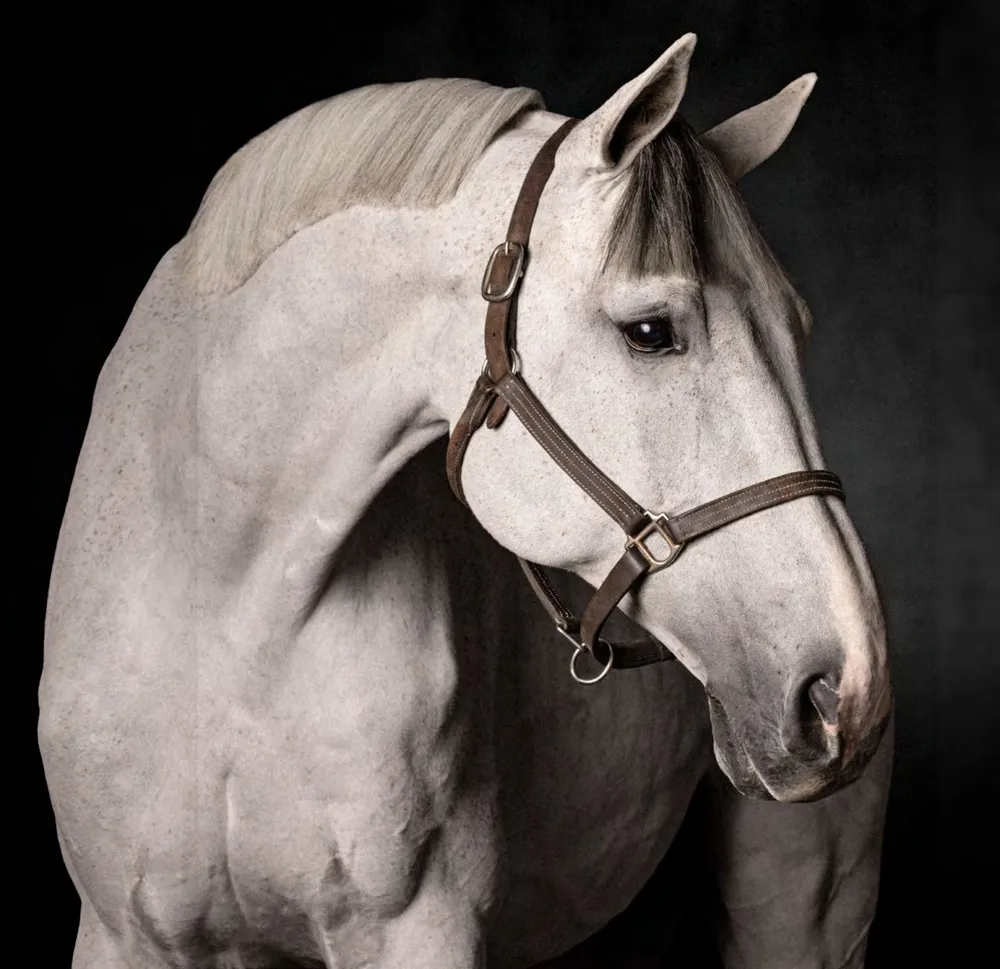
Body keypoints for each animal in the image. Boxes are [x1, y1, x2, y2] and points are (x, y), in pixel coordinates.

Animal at [39, 33, 894, 969]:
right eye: (650, 331)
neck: (229, 605)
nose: (845, 684)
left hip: (807, 906)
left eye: (796, 326)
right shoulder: (122, 934)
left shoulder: (421, 930)